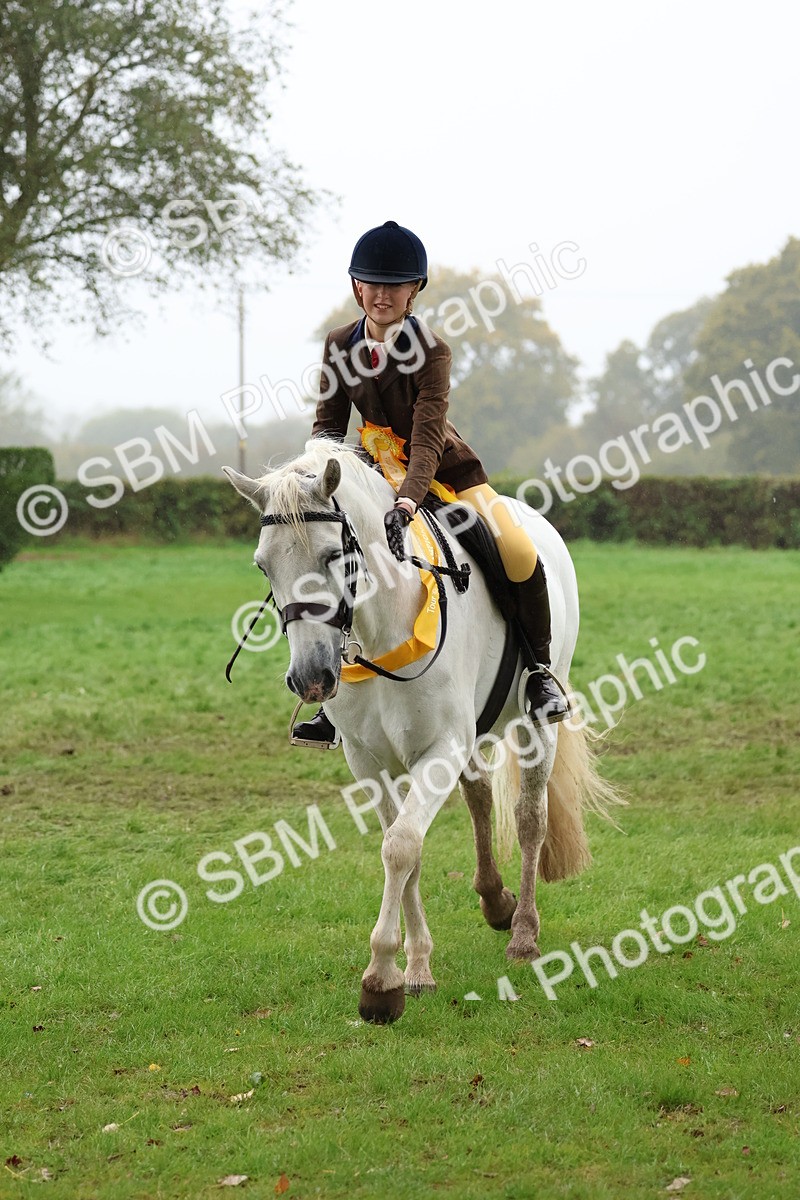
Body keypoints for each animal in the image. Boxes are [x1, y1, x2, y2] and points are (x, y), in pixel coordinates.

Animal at [224, 440, 620, 1024]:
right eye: (262, 564)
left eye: (333, 556)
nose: (312, 678)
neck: (382, 628)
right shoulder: (371, 763)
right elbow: (404, 849)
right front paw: (415, 969)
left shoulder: (440, 749)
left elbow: (402, 847)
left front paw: (380, 980)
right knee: (480, 797)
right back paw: (495, 901)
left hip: (534, 724)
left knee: (531, 817)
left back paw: (523, 933)